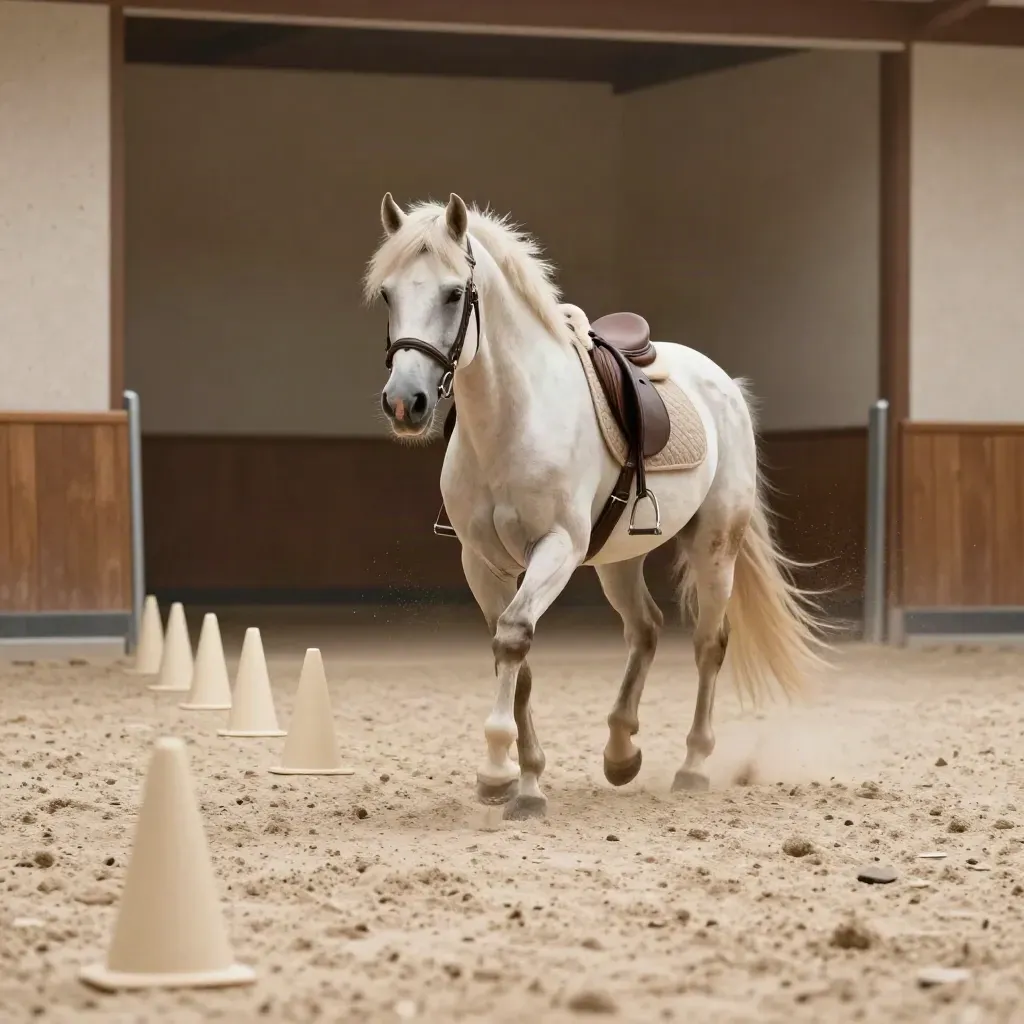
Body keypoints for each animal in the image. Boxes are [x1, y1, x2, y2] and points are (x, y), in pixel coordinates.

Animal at [365, 191, 828, 821]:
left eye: (454, 293)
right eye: (388, 294)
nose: (404, 403)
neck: (510, 420)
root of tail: (723, 383)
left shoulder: (557, 549)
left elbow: (513, 637)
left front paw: (500, 773)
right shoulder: (482, 564)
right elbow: (515, 661)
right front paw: (524, 779)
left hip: (715, 547)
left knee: (709, 643)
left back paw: (692, 766)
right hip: (619, 559)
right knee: (646, 629)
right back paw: (619, 753)